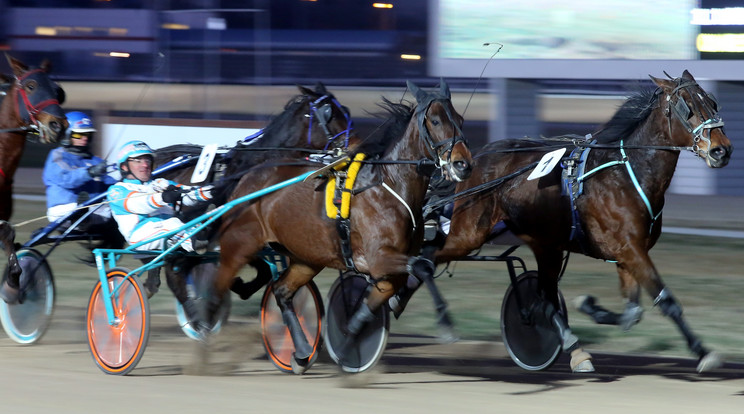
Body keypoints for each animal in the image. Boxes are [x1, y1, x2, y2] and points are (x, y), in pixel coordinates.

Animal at [212, 80, 474, 372]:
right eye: (436, 120)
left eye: (460, 120)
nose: (463, 164)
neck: (390, 186)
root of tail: (247, 178)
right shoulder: (379, 257)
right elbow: (424, 267)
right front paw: (446, 324)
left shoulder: (387, 268)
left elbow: (373, 304)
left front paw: (349, 342)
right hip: (238, 245)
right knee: (217, 288)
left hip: (307, 257)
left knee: (281, 290)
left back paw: (301, 352)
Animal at [436, 69, 732, 374]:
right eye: (688, 106)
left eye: (712, 102)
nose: (721, 150)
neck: (628, 172)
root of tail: (476, 157)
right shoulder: (630, 249)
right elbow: (667, 301)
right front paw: (703, 352)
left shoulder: (627, 253)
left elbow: (632, 313)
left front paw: (591, 307)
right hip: (470, 232)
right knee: (428, 259)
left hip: (546, 244)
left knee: (544, 299)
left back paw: (571, 345)